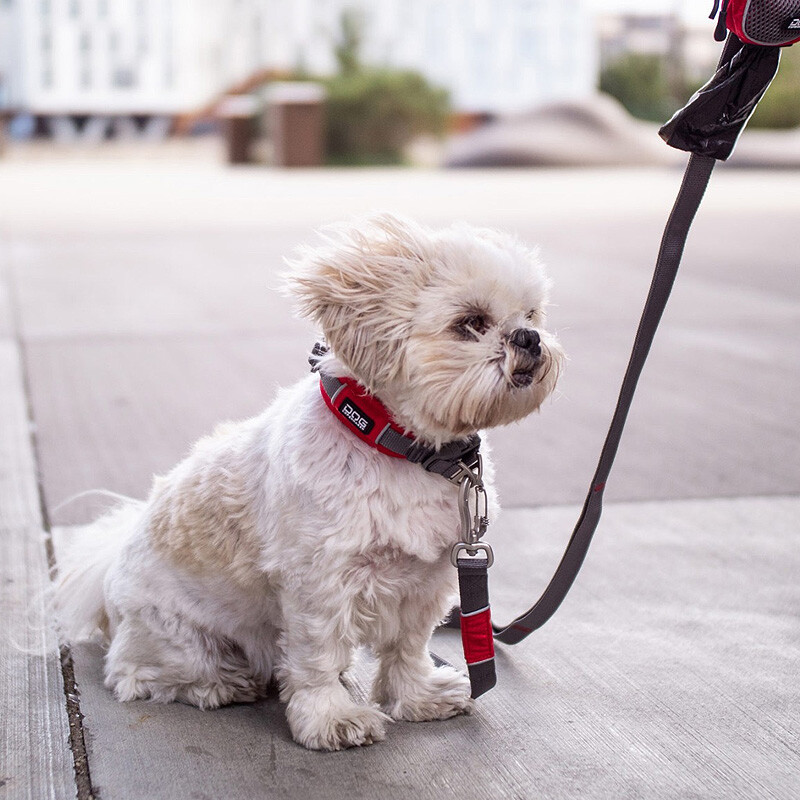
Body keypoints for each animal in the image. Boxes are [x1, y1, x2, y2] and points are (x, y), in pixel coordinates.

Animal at [53, 214, 564, 752]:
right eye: (471, 322)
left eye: (532, 313)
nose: (529, 337)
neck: (401, 449)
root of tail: (109, 571)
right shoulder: (320, 584)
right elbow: (318, 658)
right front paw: (331, 717)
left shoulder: (427, 580)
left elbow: (407, 648)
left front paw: (416, 697)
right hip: (178, 634)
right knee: (137, 674)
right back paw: (219, 684)